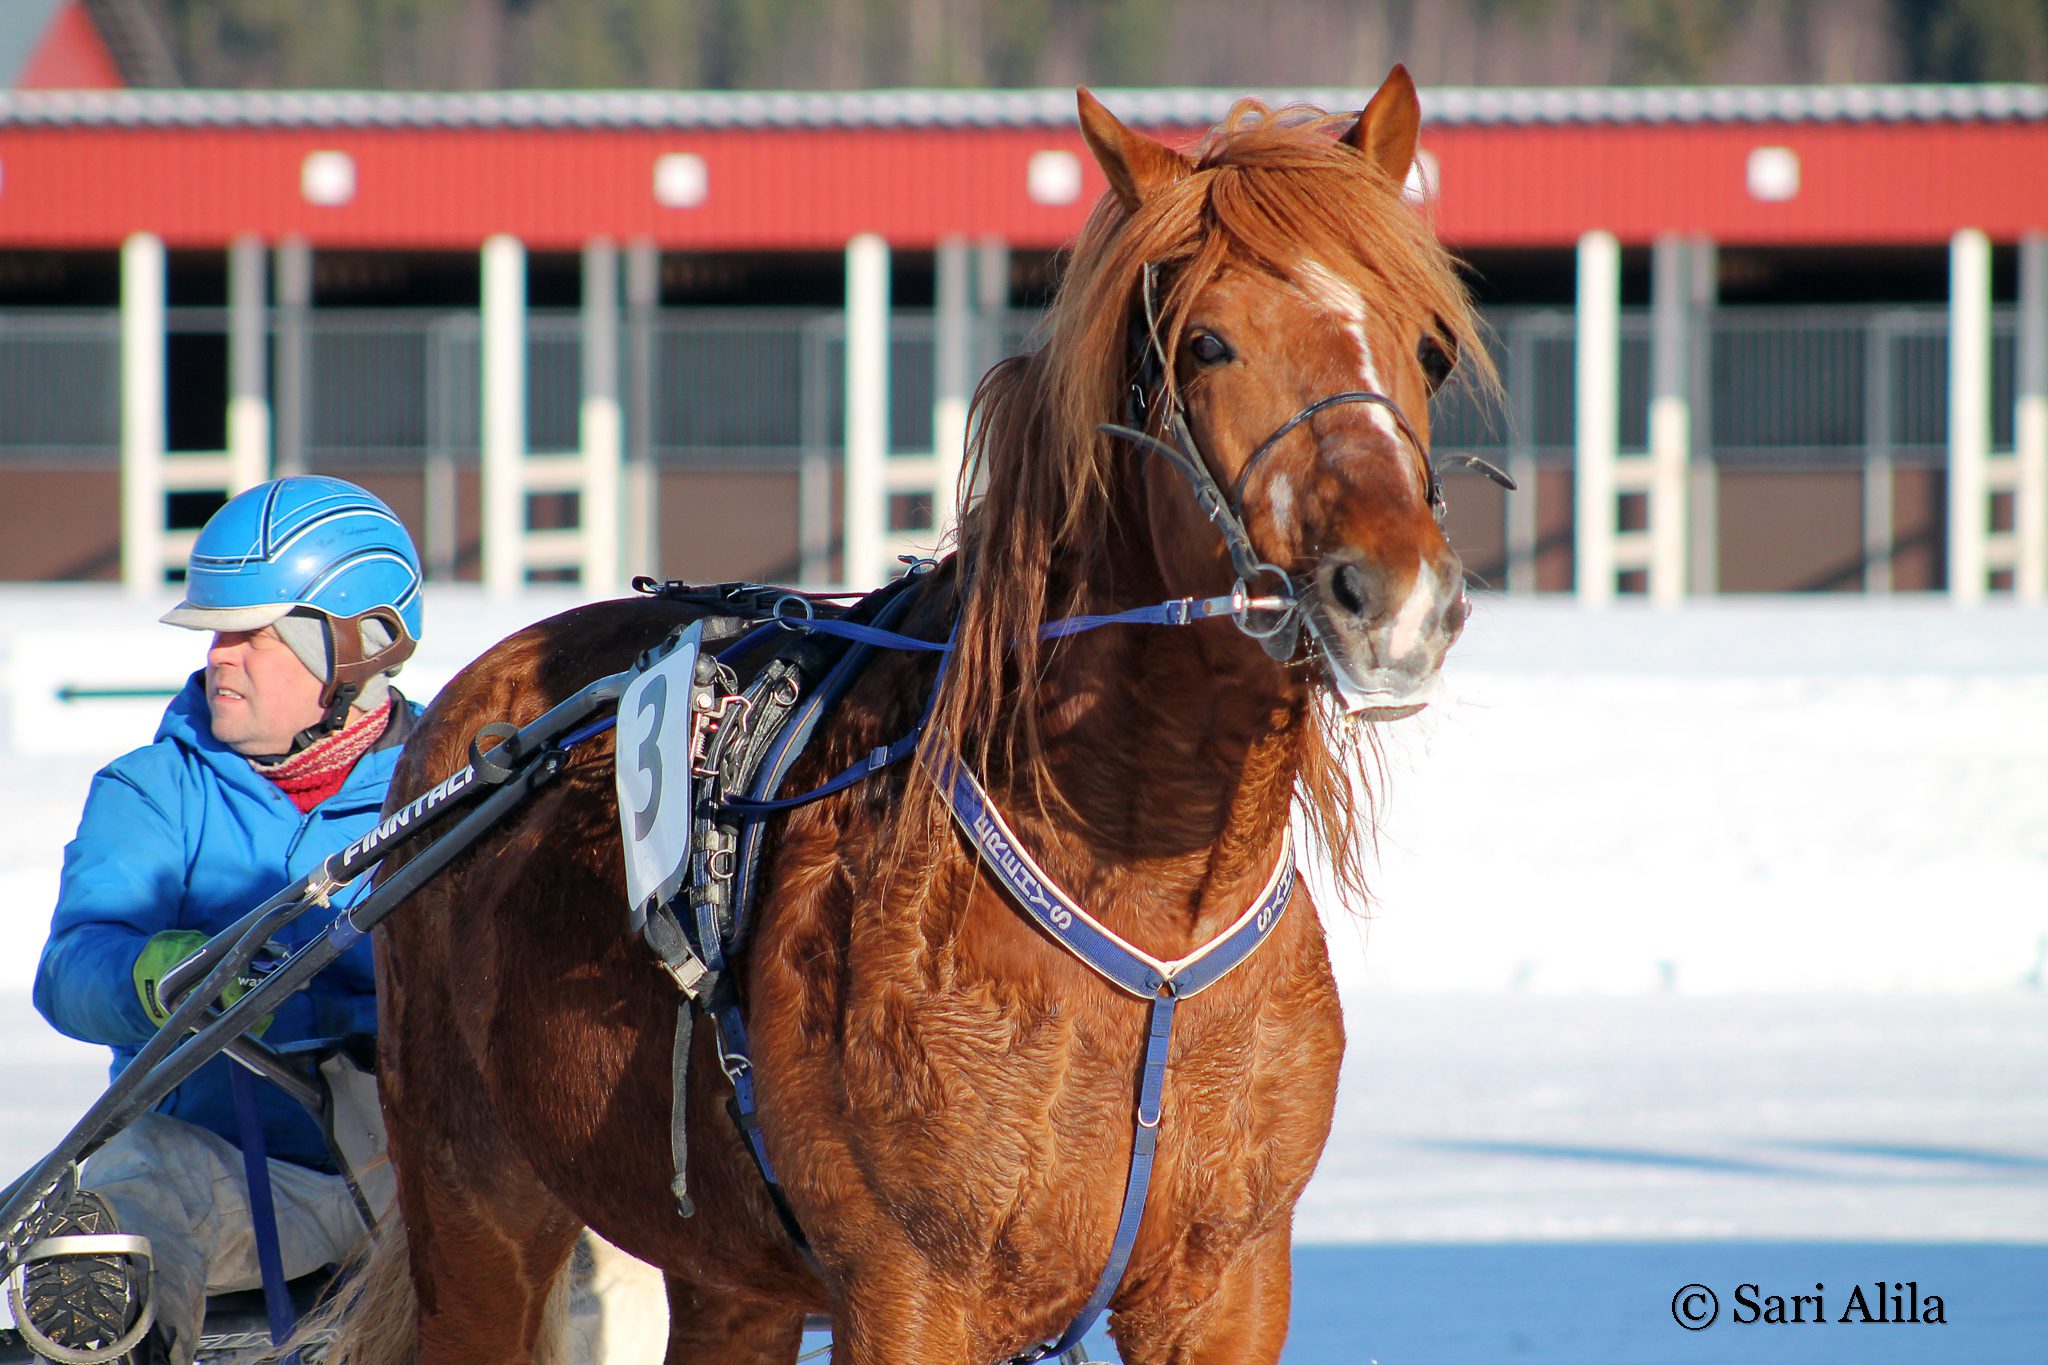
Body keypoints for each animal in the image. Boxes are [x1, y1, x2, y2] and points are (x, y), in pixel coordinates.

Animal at [332, 65, 1487, 1365]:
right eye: (1205, 342)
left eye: (1430, 347)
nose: (1390, 594)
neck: (1144, 915)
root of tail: (468, 729)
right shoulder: (909, 1289)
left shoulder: (1228, 1285)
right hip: (477, 1214)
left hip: (727, 1274)